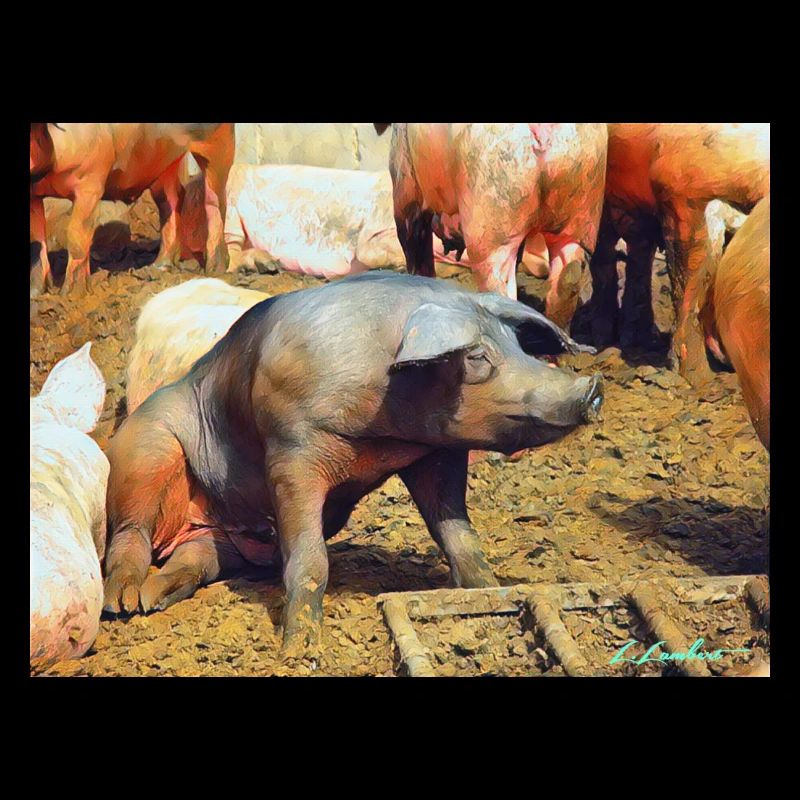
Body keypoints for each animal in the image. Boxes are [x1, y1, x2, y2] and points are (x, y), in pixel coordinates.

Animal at [30, 123, 235, 296]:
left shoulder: (90, 183)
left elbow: (76, 236)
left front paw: (70, 295)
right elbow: (36, 242)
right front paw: (36, 293)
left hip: (217, 140)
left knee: (215, 197)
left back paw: (214, 270)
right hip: (164, 161)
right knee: (171, 199)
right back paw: (159, 266)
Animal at [381, 123, 608, 328]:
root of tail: (543, 130)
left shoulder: (406, 186)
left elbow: (416, 250)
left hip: (491, 217)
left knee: (499, 285)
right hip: (583, 202)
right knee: (566, 275)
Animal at [587, 123, 769, 385]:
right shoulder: (679, 193)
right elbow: (689, 280)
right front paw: (697, 380)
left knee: (639, 254)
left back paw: (643, 339)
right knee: (604, 255)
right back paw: (601, 340)